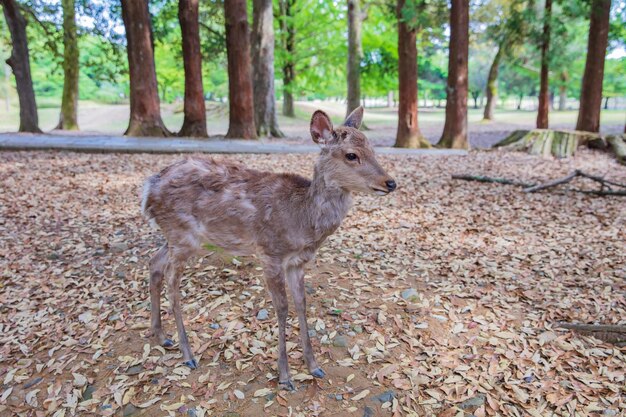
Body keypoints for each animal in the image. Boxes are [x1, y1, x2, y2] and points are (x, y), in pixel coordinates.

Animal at [141, 107, 394, 390]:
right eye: (351, 155)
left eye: (372, 148)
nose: (390, 182)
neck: (302, 222)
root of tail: (148, 189)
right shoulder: (270, 252)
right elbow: (282, 308)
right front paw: (285, 376)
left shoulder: (298, 261)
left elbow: (301, 303)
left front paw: (314, 366)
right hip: (181, 234)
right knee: (172, 283)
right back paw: (188, 354)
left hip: (176, 238)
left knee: (154, 262)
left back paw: (161, 336)